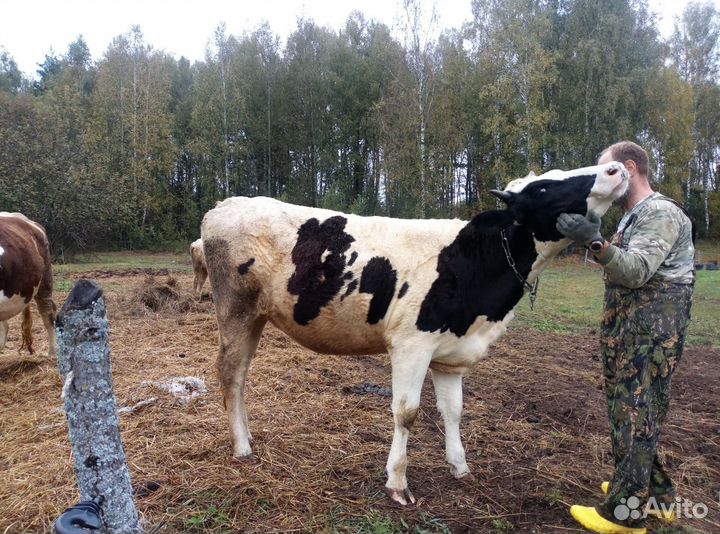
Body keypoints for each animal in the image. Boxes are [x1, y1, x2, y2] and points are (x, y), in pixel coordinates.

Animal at [200, 161, 629, 505]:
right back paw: (242, 445)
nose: (616, 167)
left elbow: (453, 410)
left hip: (255, 317)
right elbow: (407, 413)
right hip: (236, 311)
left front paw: (460, 466)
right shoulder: (412, 345)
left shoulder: (451, 353)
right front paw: (397, 483)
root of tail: (225, 205)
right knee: (231, 373)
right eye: (543, 188)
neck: (474, 261)